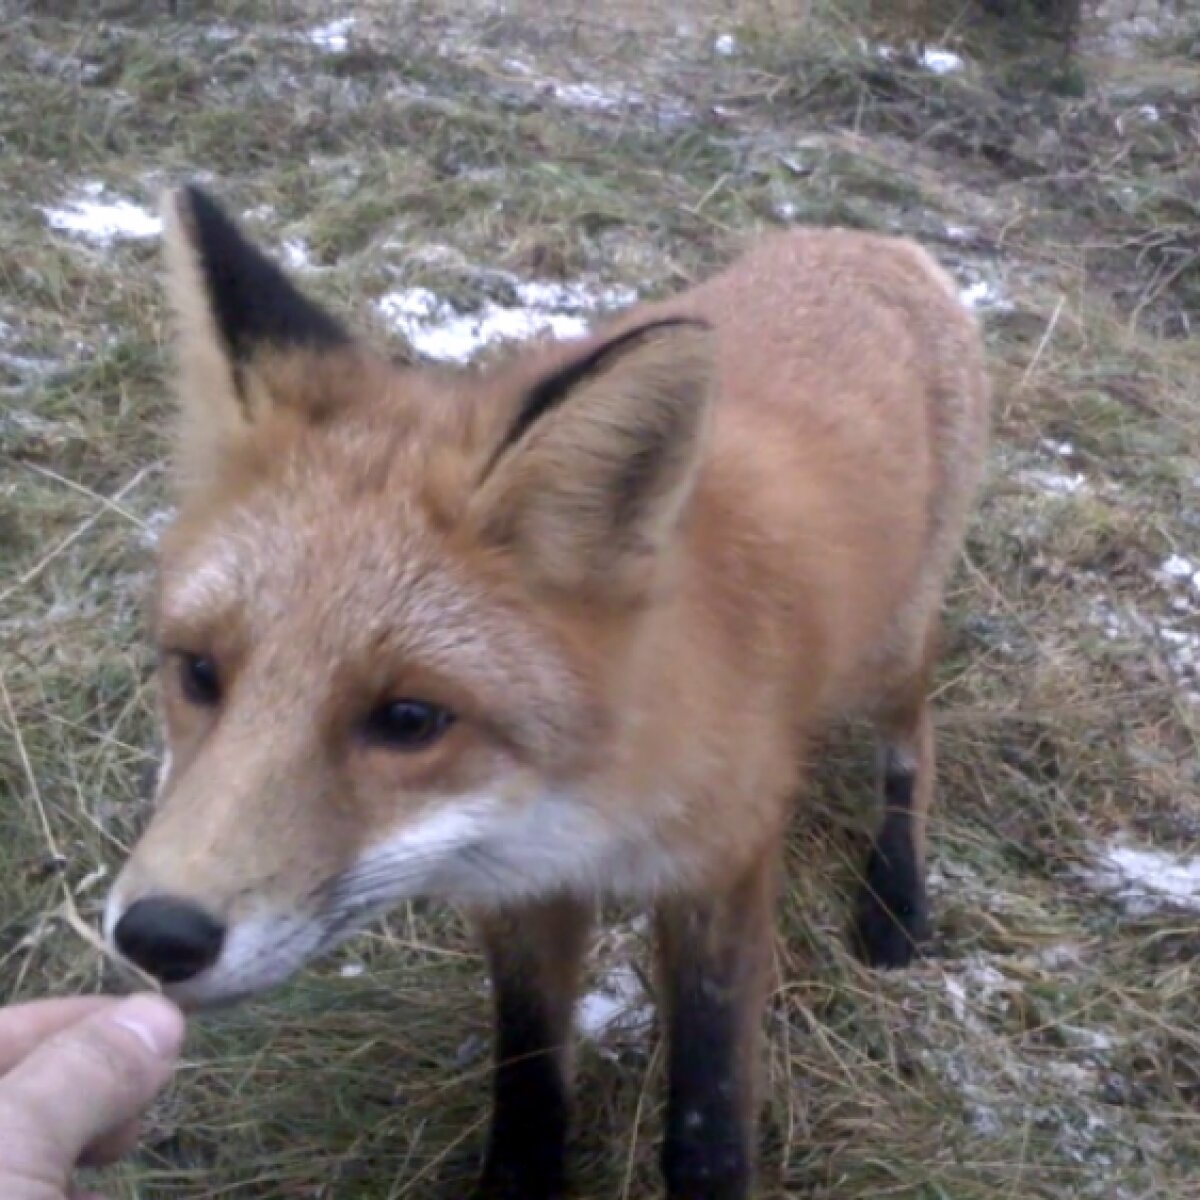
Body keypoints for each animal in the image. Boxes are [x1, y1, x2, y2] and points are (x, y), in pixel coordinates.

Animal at [100, 187, 984, 1200]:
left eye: (409, 719)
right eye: (200, 673)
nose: (158, 936)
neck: (582, 799)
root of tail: (874, 245)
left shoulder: (722, 862)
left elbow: (708, 1105)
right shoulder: (513, 884)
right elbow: (527, 1073)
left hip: (888, 651)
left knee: (914, 743)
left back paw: (896, 896)